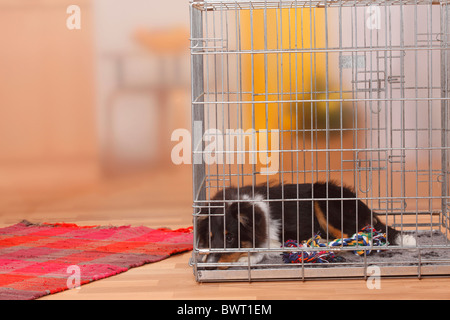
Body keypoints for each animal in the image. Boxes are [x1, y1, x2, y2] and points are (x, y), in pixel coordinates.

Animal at [197, 182, 418, 268]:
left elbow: (261, 250)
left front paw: (244, 259)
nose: (207, 265)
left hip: (325, 201)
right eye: (210, 238)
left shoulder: (280, 238)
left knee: (362, 239)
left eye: (230, 237)